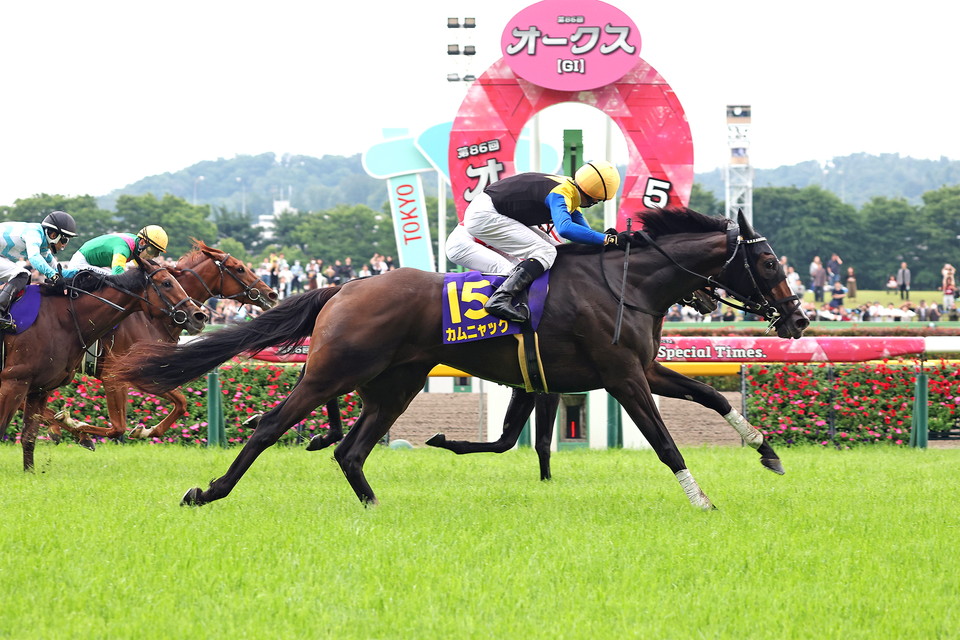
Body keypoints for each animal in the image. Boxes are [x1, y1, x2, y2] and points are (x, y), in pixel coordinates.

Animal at [45, 241, 278, 445]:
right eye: (240, 269)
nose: (272, 294)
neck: (152, 318)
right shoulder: (116, 375)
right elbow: (117, 427)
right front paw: (72, 423)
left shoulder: (152, 370)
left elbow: (181, 403)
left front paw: (144, 430)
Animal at [115, 208, 808, 510]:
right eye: (770, 262)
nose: (799, 319)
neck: (624, 282)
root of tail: (344, 287)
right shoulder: (620, 375)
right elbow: (665, 441)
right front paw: (702, 501)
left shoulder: (640, 368)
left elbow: (712, 395)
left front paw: (768, 453)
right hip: (334, 371)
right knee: (269, 427)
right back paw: (208, 492)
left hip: (395, 384)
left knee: (351, 450)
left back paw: (375, 507)